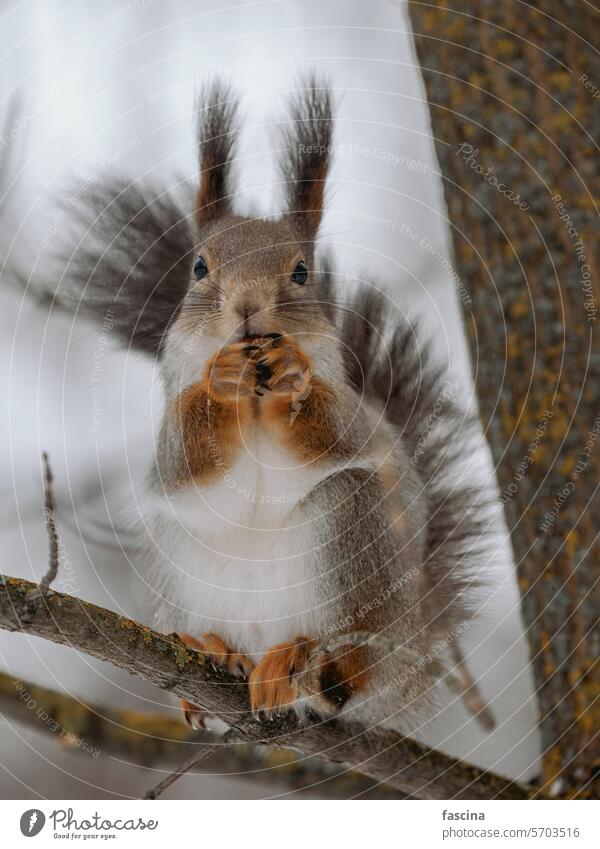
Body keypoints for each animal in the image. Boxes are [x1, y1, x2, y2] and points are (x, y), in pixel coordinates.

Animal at [44, 78, 490, 728]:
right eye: (199, 267)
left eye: (302, 273)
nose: (248, 307)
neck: (255, 398)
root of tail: (412, 648)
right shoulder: (172, 413)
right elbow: (183, 456)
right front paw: (219, 379)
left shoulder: (351, 412)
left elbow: (336, 429)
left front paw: (294, 377)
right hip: (179, 555)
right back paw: (213, 650)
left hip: (352, 532)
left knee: (352, 657)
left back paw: (314, 663)